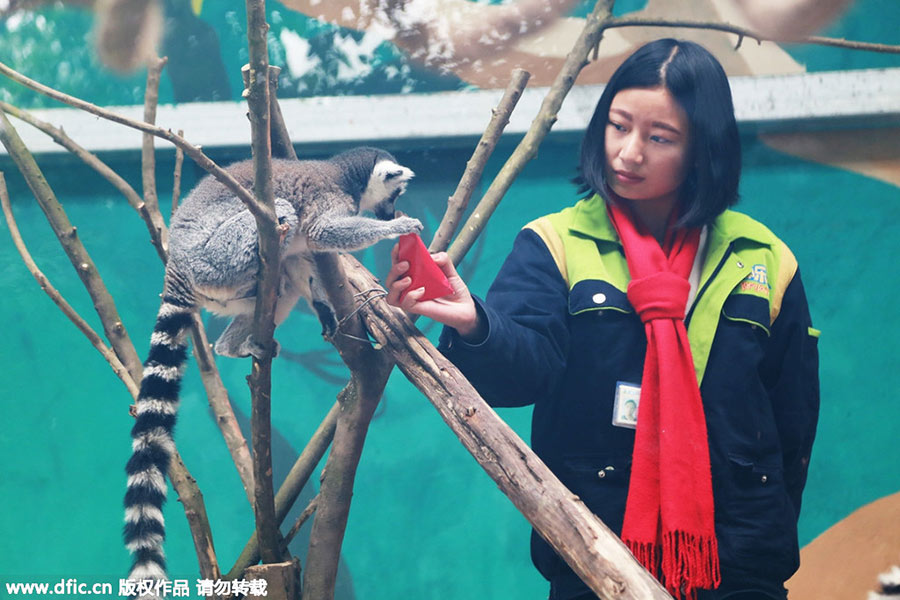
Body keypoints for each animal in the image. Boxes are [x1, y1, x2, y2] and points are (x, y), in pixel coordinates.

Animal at [123, 146, 421, 588]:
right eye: (396, 193)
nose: (389, 213)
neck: (345, 175)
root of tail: (175, 260)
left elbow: (304, 259)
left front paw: (325, 312)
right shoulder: (327, 200)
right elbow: (320, 232)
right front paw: (398, 227)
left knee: (282, 283)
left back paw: (236, 342)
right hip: (215, 257)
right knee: (280, 213)